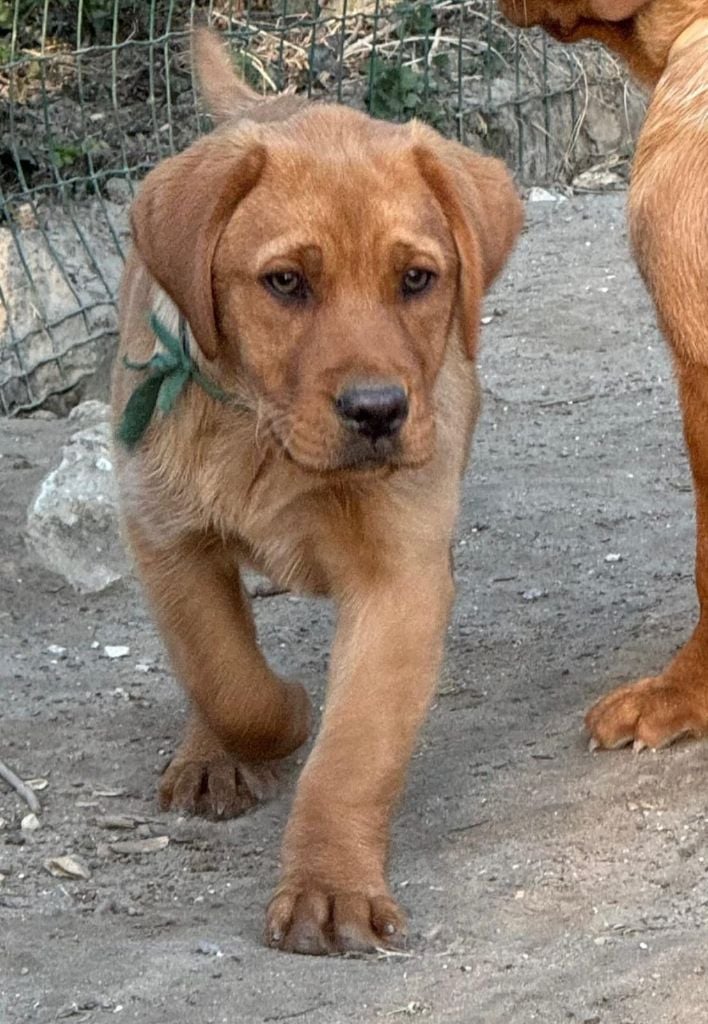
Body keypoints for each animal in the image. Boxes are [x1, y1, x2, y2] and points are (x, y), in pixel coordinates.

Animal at [111, 28, 523, 954]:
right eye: (286, 283)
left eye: (417, 280)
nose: (377, 412)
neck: (269, 445)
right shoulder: (164, 533)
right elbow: (226, 676)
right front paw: (281, 718)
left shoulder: (402, 572)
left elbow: (353, 753)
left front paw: (329, 887)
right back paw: (209, 755)